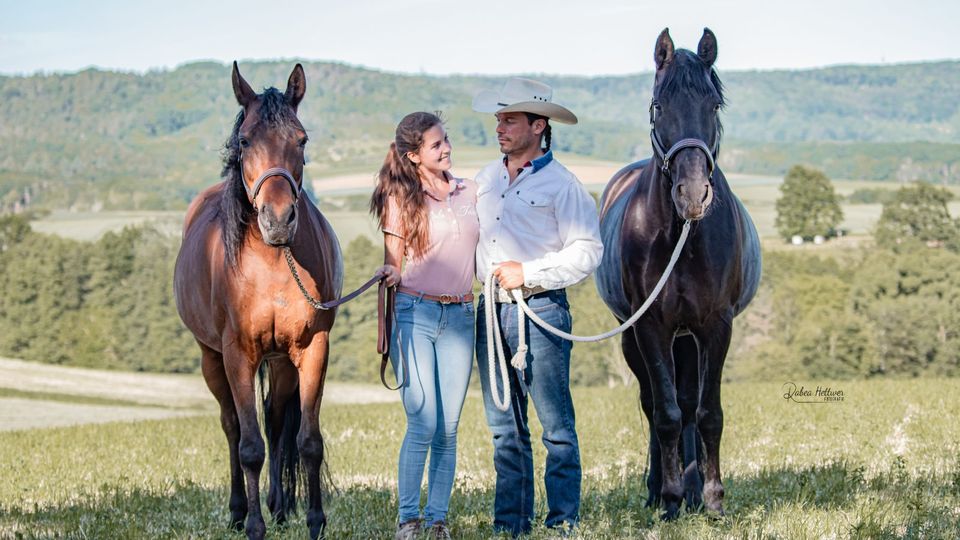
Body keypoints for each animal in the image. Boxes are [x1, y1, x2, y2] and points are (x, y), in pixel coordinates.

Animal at [174, 63, 344, 540]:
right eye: (246, 140)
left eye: (301, 139)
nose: (278, 219)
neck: (271, 262)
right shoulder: (237, 353)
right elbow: (249, 446)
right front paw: (253, 525)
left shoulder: (311, 349)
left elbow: (307, 441)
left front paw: (314, 522)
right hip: (211, 357)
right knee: (233, 426)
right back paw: (237, 511)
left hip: (282, 361)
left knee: (275, 422)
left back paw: (280, 507)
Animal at [596, 28, 760, 520]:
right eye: (658, 105)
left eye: (714, 105)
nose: (693, 193)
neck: (682, 238)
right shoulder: (650, 325)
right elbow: (665, 414)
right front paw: (668, 500)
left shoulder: (716, 325)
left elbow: (707, 413)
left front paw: (712, 498)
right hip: (637, 335)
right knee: (655, 405)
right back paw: (660, 490)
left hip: (687, 337)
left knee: (688, 404)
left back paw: (690, 489)